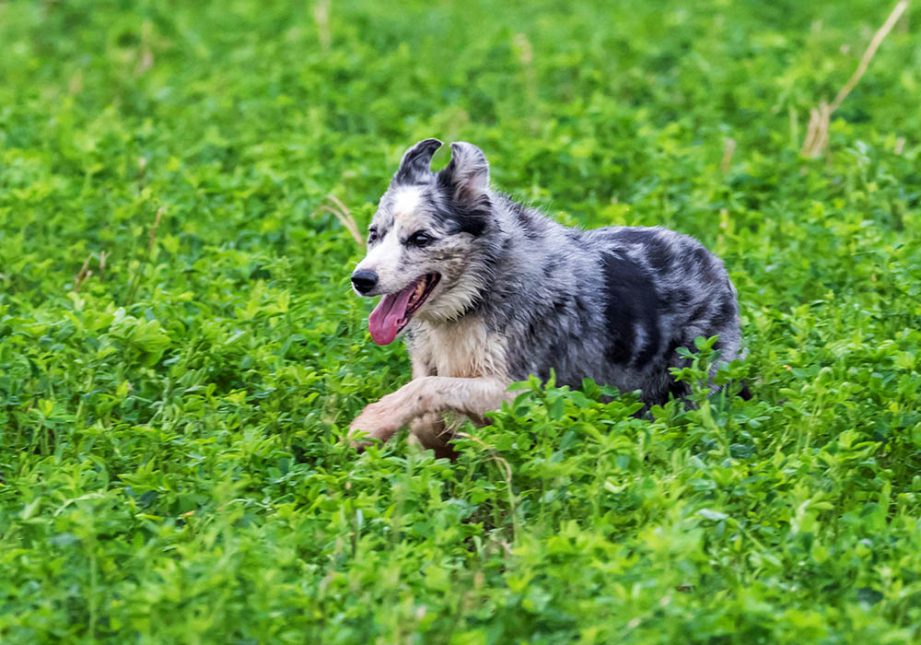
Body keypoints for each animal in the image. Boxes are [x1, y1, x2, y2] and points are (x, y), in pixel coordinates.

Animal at [348, 138, 744, 452]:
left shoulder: (521, 391)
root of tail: (713, 262)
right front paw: (431, 440)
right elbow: (425, 400)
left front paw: (370, 423)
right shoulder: (431, 364)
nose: (361, 279)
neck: (475, 296)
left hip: (695, 383)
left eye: (420, 238)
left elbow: (427, 388)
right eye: (374, 234)